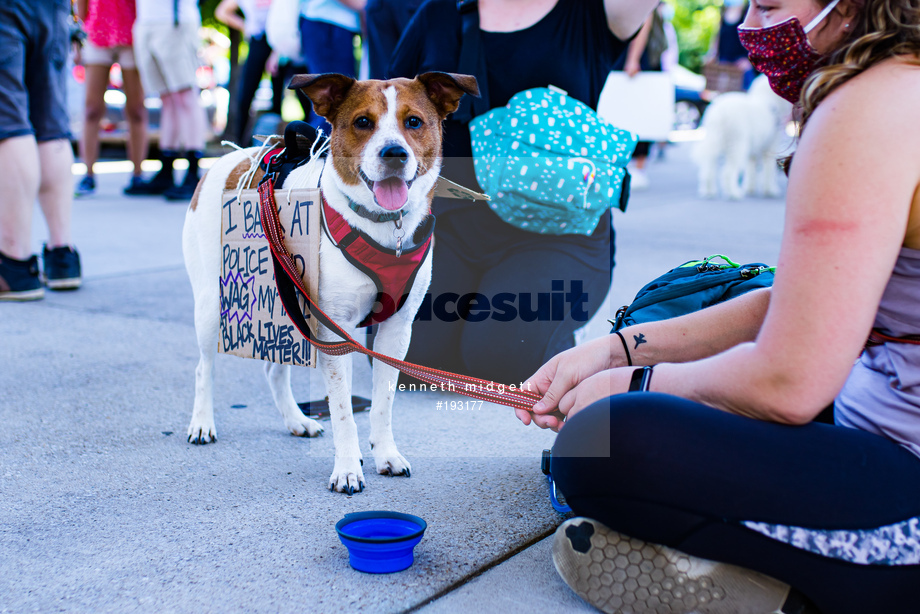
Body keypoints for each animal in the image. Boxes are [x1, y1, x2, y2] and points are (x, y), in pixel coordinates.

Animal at [182, 73, 478, 496]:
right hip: (212, 306)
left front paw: (385, 453)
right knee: (203, 369)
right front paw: (348, 467)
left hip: (290, 310)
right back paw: (202, 424)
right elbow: (342, 411)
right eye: (363, 122)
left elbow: (383, 403)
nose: (394, 153)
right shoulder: (336, 331)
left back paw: (296, 420)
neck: (383, 226)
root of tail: (227, 159)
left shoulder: (395, 331)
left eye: (414, 122)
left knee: (274, 371)